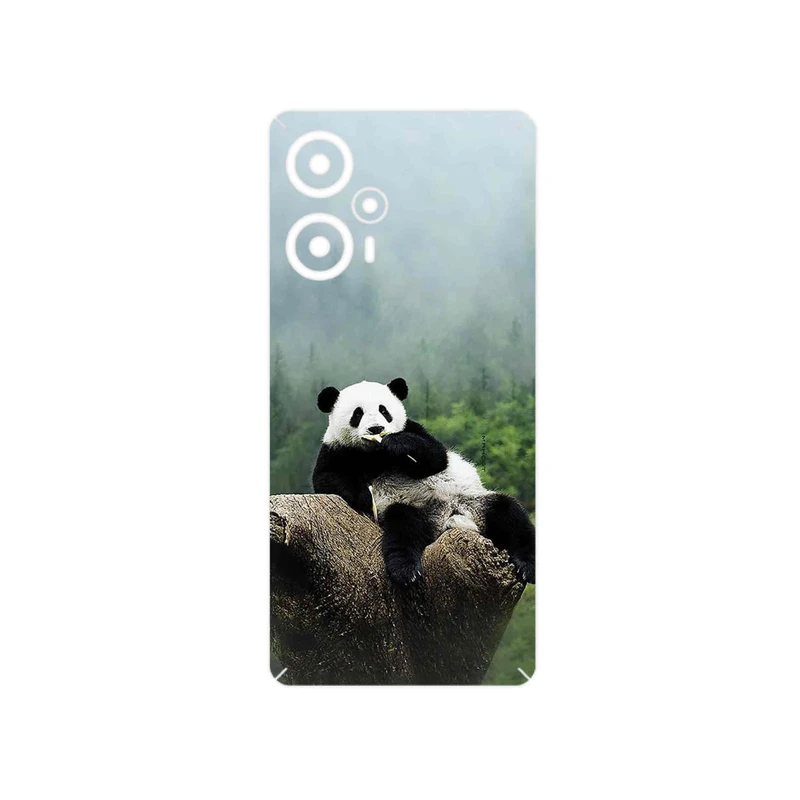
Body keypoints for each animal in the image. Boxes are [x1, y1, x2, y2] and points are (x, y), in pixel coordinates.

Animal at [312, 377, 535, 586]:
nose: (376, 429)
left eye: (384, 410)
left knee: (509, 514)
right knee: (403, 526)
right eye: (357, 414)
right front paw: (365, 497)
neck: (376, 453)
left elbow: (436, 457)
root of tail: (449, 517)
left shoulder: (413, 429)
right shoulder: (336, 450)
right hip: (415, 510)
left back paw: (528, 566)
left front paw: (398, 443)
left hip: (473, 501)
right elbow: (326, 479)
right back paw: (406, 570)